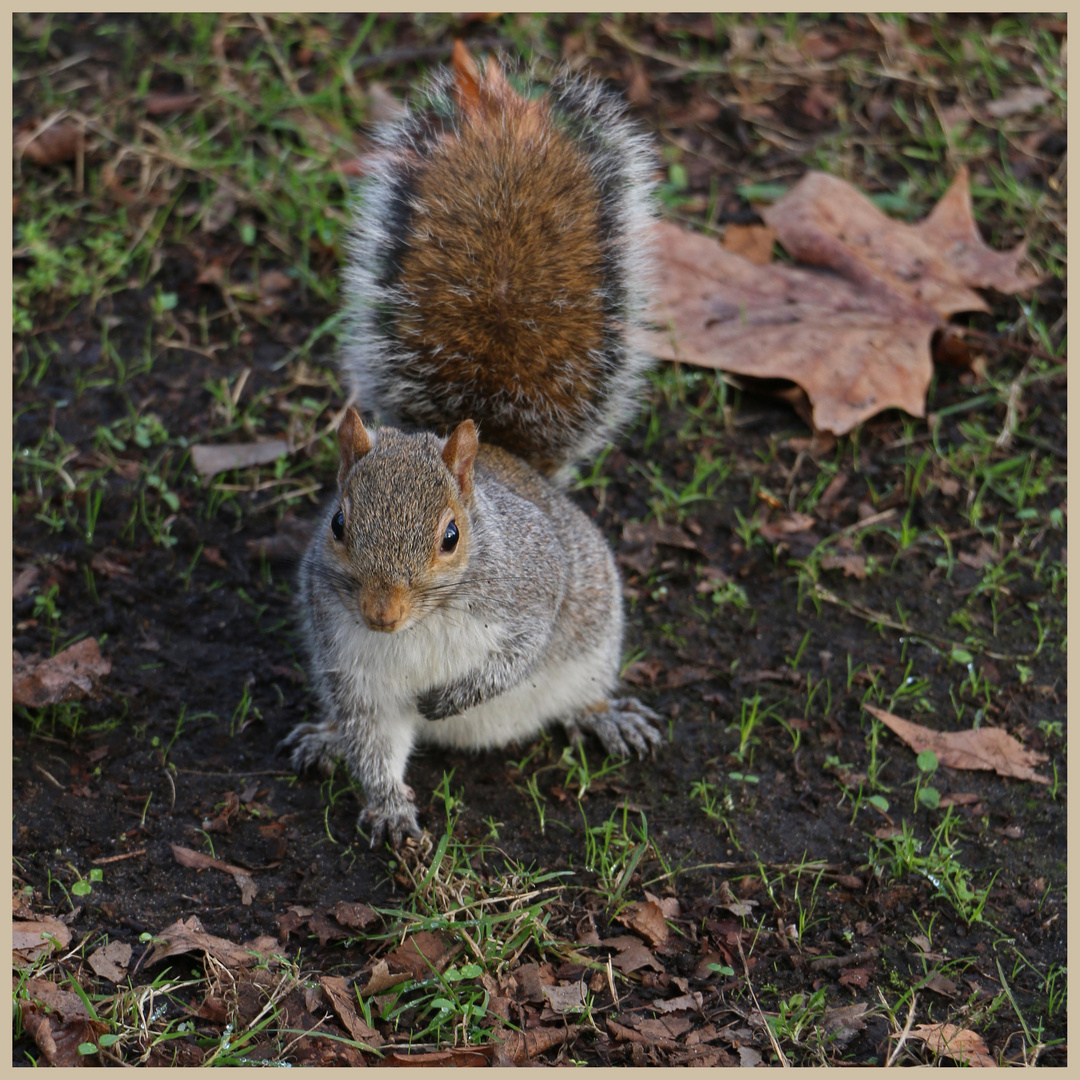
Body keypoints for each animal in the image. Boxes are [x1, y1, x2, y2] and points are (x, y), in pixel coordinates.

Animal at [280, 46, 656, 846]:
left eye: (452, 536)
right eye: (338, 524)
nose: (381, 615)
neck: (426, 622)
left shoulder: (532, 592)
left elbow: (515, 656)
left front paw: (452, 698)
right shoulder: (355, 671)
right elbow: (374, 739)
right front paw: (390, 810)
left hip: (592, 642)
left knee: (577, 692)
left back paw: (605, 718)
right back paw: (324, 736)